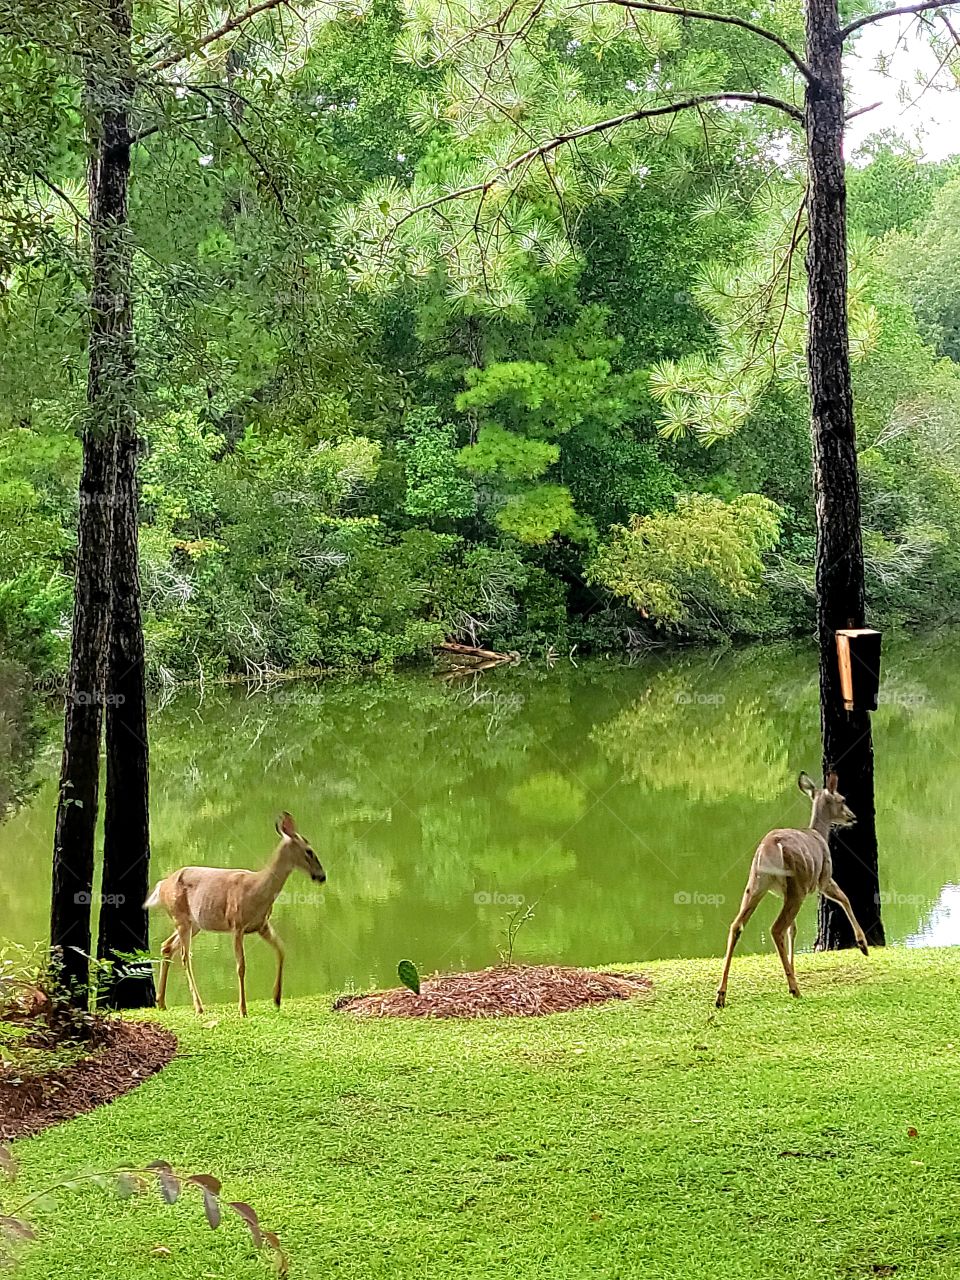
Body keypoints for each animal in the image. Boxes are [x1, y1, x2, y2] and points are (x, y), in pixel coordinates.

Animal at [145, 812, 325, 1017]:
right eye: (309, 851)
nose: (322, 876)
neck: (256, 890)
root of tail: (162, 885)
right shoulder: (236, 925)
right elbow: (241, 966)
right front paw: (243, 1010)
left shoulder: (262, 925)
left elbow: (281, 949)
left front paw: (277, 999)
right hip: (180, 917)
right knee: (184, 956)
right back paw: (198, 1006)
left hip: (194, 923)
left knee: (166, 946)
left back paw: (161, 1002)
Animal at [715, 771, 869, 1009]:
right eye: (842, 799)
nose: (852, 817)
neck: (819, 834)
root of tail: (769, 847)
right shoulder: (824, 878)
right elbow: (845, 898)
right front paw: (863, 945)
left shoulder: (782, 893)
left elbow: (794, 929)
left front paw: (793, 969)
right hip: (797, 885)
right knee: (776, 928)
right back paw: (794, 988)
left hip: (756, 883)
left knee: (737, 925)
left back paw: (721, 995)